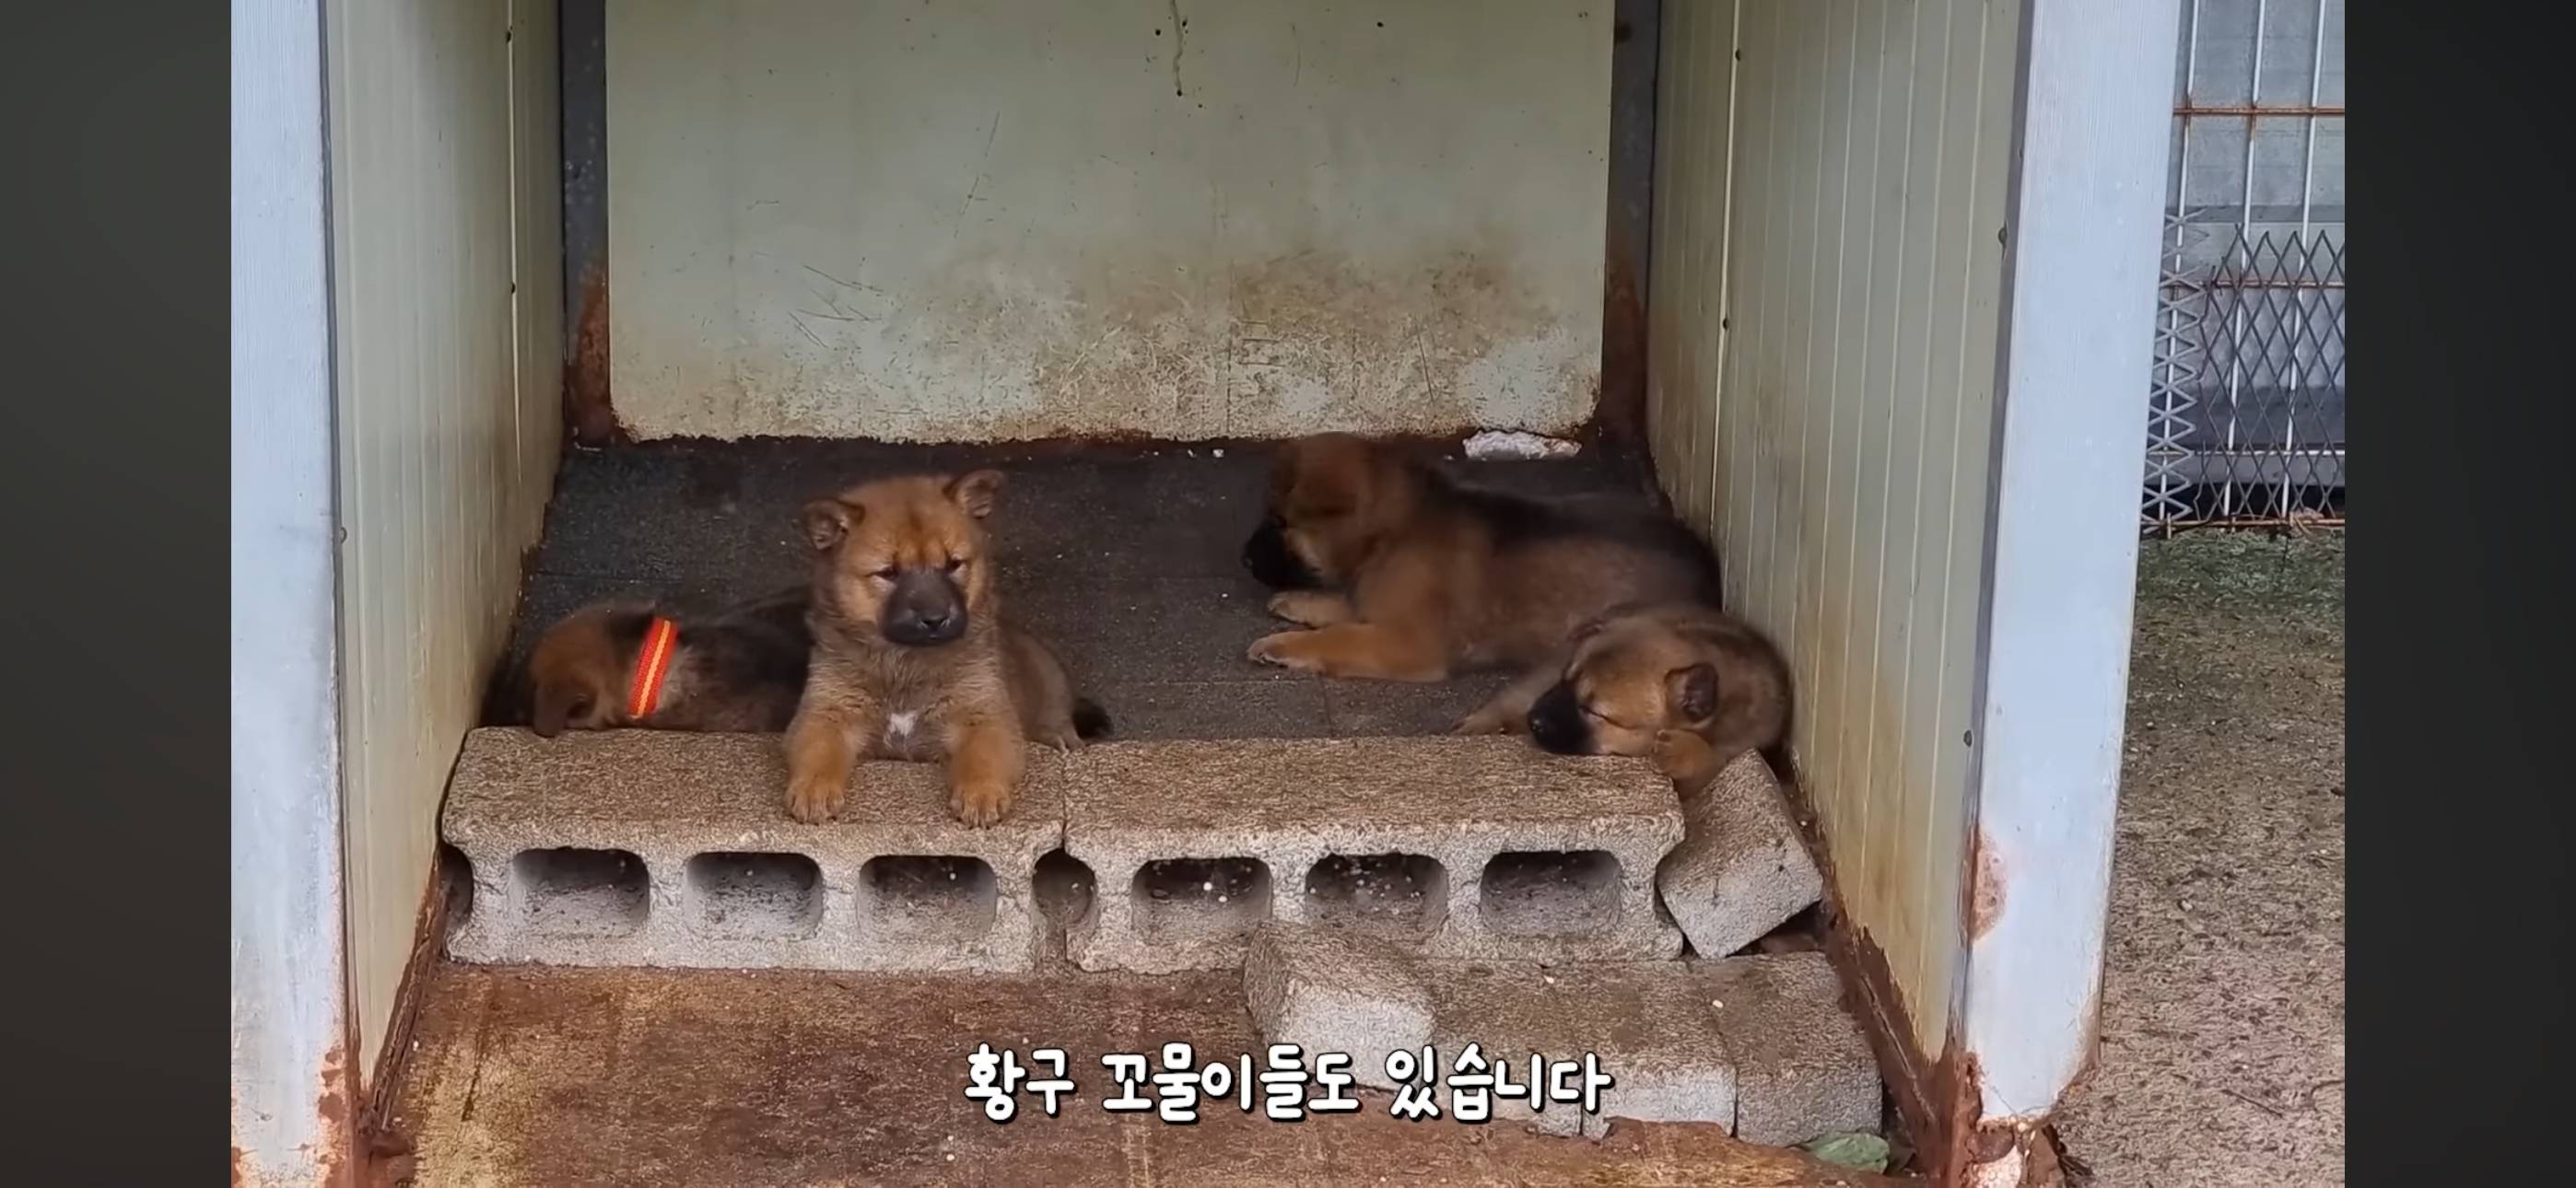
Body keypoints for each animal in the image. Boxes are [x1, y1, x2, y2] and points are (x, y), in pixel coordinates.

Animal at [782, 469, 1107, 824]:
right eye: (889, 573)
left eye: (954, 564)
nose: (936, 618)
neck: (906, 664)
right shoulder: (827, 711)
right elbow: (818, 751)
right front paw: (814, 789)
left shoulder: (984, 712)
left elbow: (983, 754)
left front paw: (980, 793)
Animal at [1236, 430, 1720, 727]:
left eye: (1278, 521)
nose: (1244, 560)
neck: (1392, 532)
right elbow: (1344, 606)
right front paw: (1299, 601)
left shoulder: (1409, 643)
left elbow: (1339, 636)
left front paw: (1283, 645)